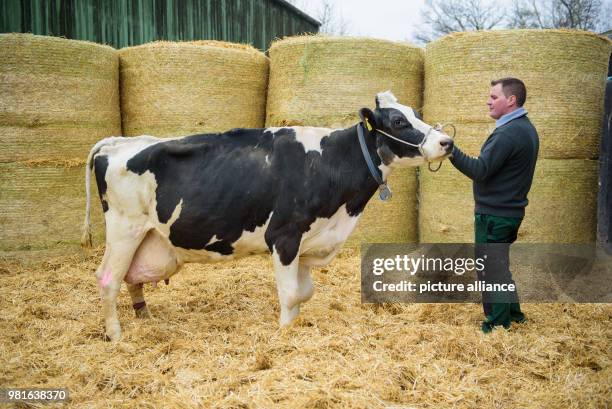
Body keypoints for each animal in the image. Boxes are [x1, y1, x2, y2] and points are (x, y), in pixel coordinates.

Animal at [81, 91, 452, 340]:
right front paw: (285, 333)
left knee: (132, 278)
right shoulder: (284, 236)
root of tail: (117, 143)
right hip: (124, 229)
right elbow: (290, 294)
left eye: (416, 113)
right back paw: (116, 335)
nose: (447, 142)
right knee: (108, 279)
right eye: (399, 121)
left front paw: (296, 324)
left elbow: (304, 292)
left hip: (147, 236)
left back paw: (144, 318)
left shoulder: (307, 241)